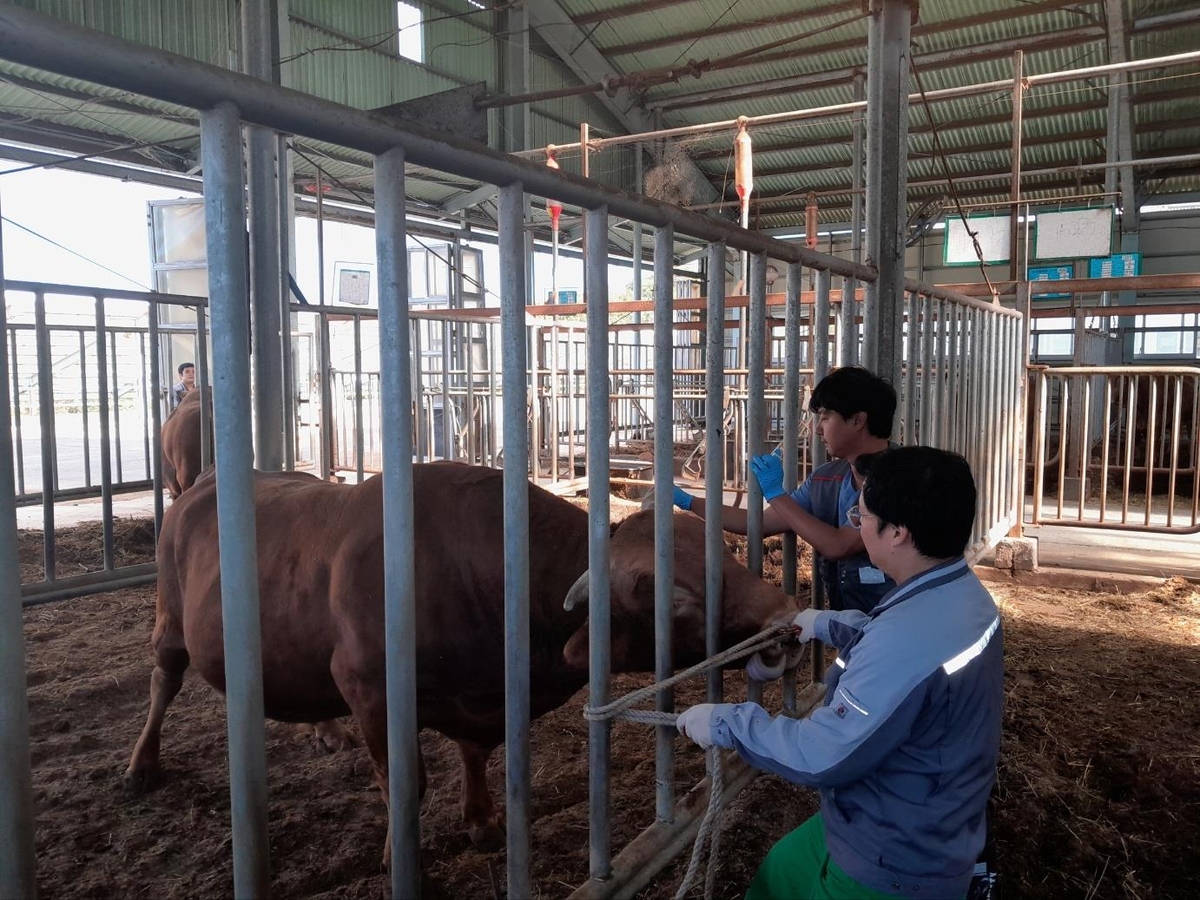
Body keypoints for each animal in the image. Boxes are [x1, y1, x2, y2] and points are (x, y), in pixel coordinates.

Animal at [124, 460, 796, 864]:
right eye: (676, 599)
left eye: (722, 554)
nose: (786, 616)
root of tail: (203, 484)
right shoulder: (369, 687)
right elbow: (405, 784)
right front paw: (401, 858)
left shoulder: (484, 697)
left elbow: (476, 754)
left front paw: (482, 821)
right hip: (170, 622)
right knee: (162, 680)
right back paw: (140, 765)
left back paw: (327, 731)